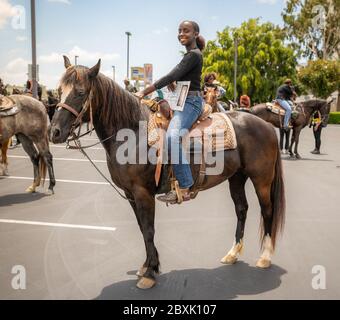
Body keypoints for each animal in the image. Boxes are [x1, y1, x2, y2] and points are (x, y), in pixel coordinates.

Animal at [49, 56, 286, 288]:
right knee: (241, 209)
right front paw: (147, 266)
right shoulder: (130, 194)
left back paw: (265, 257)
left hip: (262, 179)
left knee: (267, 210)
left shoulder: (143, 193)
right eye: (59, 91)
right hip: (236, 177)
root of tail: (265, 124)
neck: (133, 134)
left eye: (80, 92)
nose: (54, 132)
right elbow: (142, 229)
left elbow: (149, 229)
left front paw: (150, 273)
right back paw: (232, 253)